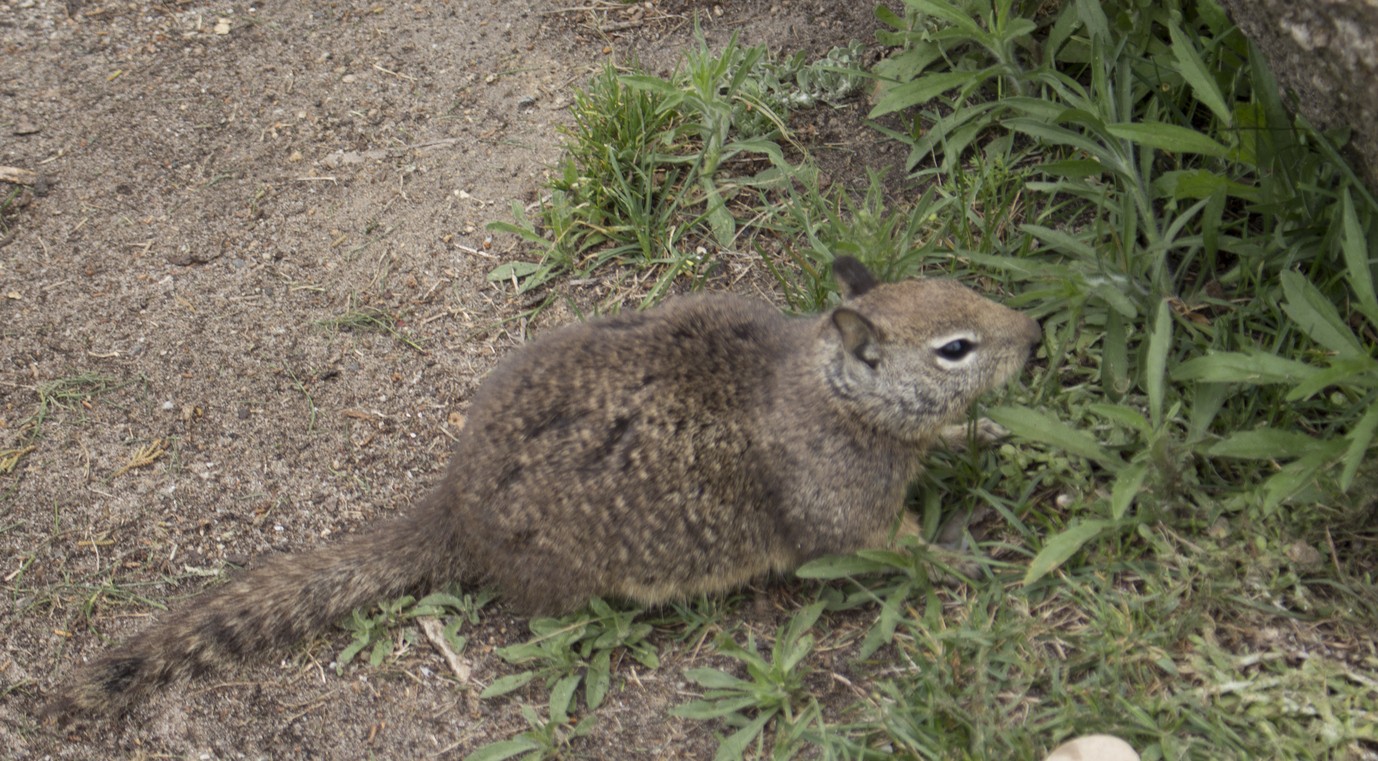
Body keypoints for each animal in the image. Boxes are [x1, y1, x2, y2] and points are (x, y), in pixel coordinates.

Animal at [43, 255, 1036, 716]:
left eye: (962, 285)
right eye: (955, 346)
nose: (1033, 332)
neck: (828, 390)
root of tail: (453, 506)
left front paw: (983, 433)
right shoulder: (846, 516)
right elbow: (893, 552)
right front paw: (966, 559)